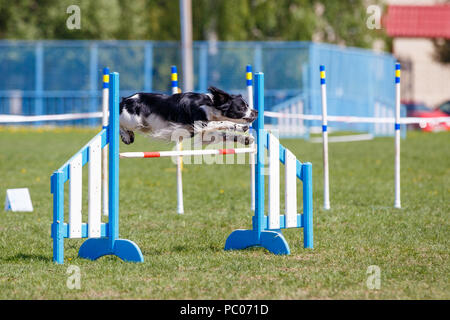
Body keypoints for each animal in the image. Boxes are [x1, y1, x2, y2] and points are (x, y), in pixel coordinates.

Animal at [118, 85, 256, 144]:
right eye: (242, 107)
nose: (256, 112)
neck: (209, 105)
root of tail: (124, 100)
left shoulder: (200, 133)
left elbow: (225, 134)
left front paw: (246, 137)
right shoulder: (198, 124)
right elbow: (222, 122)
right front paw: (237, 126)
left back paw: (128, 136)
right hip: (133, 120)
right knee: (117, 123)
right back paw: (126, 136)